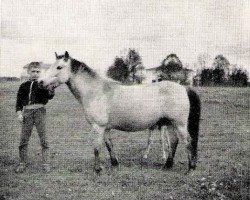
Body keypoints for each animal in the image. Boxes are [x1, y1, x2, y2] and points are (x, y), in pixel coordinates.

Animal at [38, 51, 201, 173]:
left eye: (59, 67)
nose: (40, 82)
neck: (96, 91)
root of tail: (183, 88)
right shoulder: (105, 128)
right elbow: (109, 145)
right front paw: (115, 164)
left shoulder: (98, 127)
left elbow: (96, 148)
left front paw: (98, 169)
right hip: (171, 123)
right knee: (174, 141)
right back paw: (167, 165)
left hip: (179, 124)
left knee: (187, 141)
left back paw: (190, 168)